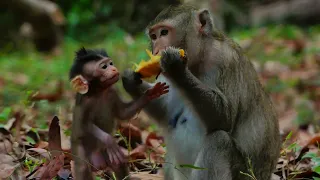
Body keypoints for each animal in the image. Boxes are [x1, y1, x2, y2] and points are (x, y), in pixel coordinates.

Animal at [69, 47, 170, 180]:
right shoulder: (86, 103)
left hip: (104, 152)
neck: (99, 92)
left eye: (111, 63)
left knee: (117, 163)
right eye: (104, 66)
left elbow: (123, 113)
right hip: (80, 149)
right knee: (83, 167)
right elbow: (84, 124)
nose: (114, 68)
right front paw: (108, 139)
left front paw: (150, 94)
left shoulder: (112, 92)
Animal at [122, 4, 280, 180]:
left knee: (219, 141)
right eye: (154, 36)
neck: (199, 59)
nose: (156, 51)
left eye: (164, 32)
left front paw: (176, 67)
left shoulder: (225, 60)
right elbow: (167, 113)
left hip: (245, 174)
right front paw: (131, 80)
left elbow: (225, 119)